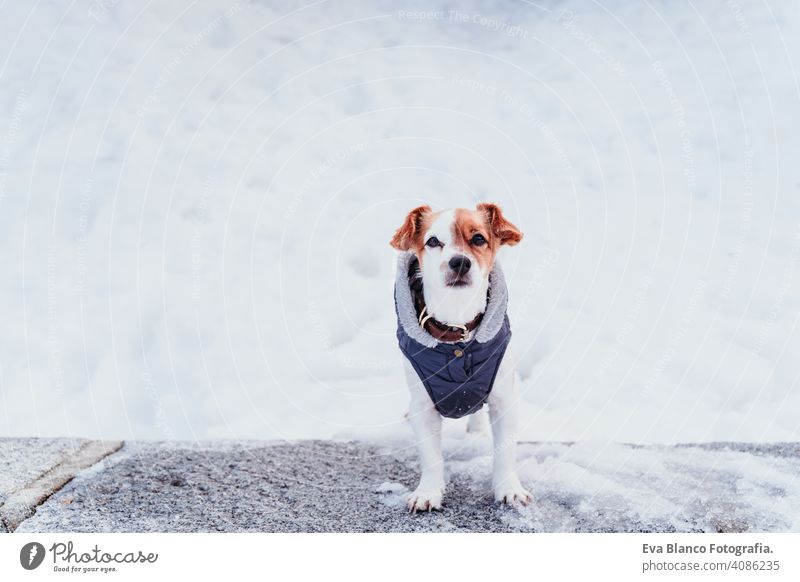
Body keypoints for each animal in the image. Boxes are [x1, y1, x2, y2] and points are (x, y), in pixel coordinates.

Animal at [390, 203, 532, 512]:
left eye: (478, 238)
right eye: (433, 241)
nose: (460, 262)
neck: (456, 331)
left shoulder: (504, 400)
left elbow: (505, 452)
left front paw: (509, 489)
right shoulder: (424, 406)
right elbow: (431, 457)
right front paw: (428, 492)